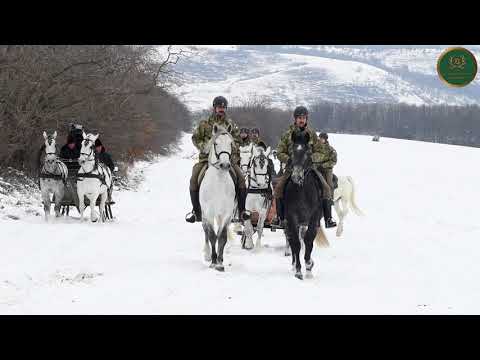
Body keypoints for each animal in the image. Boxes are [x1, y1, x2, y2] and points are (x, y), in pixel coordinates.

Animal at [199, 124, 236, 270]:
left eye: (231, 143)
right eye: (216, 143)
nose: (225, 165)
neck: (219, 182)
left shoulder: (226, 214)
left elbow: (222, 237)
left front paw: (220, 262)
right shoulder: (209, 213)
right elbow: (212, 236)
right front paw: (214, 262)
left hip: (220, 215)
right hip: (204, 214)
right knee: (205, 231)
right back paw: (207, 255)